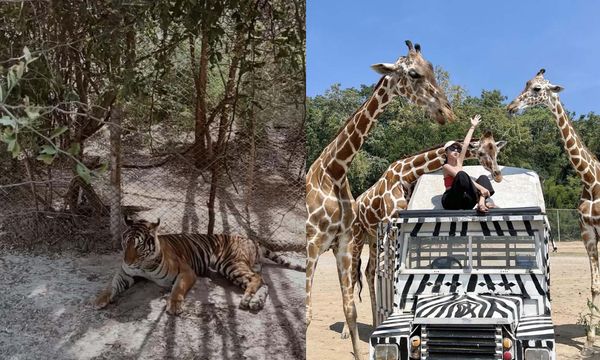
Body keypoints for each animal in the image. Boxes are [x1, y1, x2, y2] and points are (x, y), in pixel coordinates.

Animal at [95, 217, 302, 316]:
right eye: (125, 243)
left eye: (138, 246)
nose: (128, 261)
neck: (143, 265)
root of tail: (251, 239)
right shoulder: (125, 273)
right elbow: (111, 285)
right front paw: (100, 299)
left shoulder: (186, 272)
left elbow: (177, 290)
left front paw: (174, 306)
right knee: (264, 283)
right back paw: (255, 302)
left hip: (230, 264)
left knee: (257, 279)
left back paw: (247, 300)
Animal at [304, 40, 454, 358]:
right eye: (413, 73)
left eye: (432, 69)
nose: (447, 112)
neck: (334, 171)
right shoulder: (311, 243)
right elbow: (308, 314)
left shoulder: (343, 243)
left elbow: (351, 308)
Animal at [340, 133, 504, 338]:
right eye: (481, 152)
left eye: (496, 150)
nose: (498, 175)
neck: (406, 175)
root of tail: (356, 202)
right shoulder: (390, 222)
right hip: (356, 236)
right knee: (352, 275)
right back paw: (346, 331)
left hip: (372, 239)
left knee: (369, 271)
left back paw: (373, 322)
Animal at [508, 67, 600, 352]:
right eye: (525, 83)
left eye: (537, 89)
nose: (511, 107)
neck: (591, 180)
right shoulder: (587, 231)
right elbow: (595, 285)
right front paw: (590, 340)